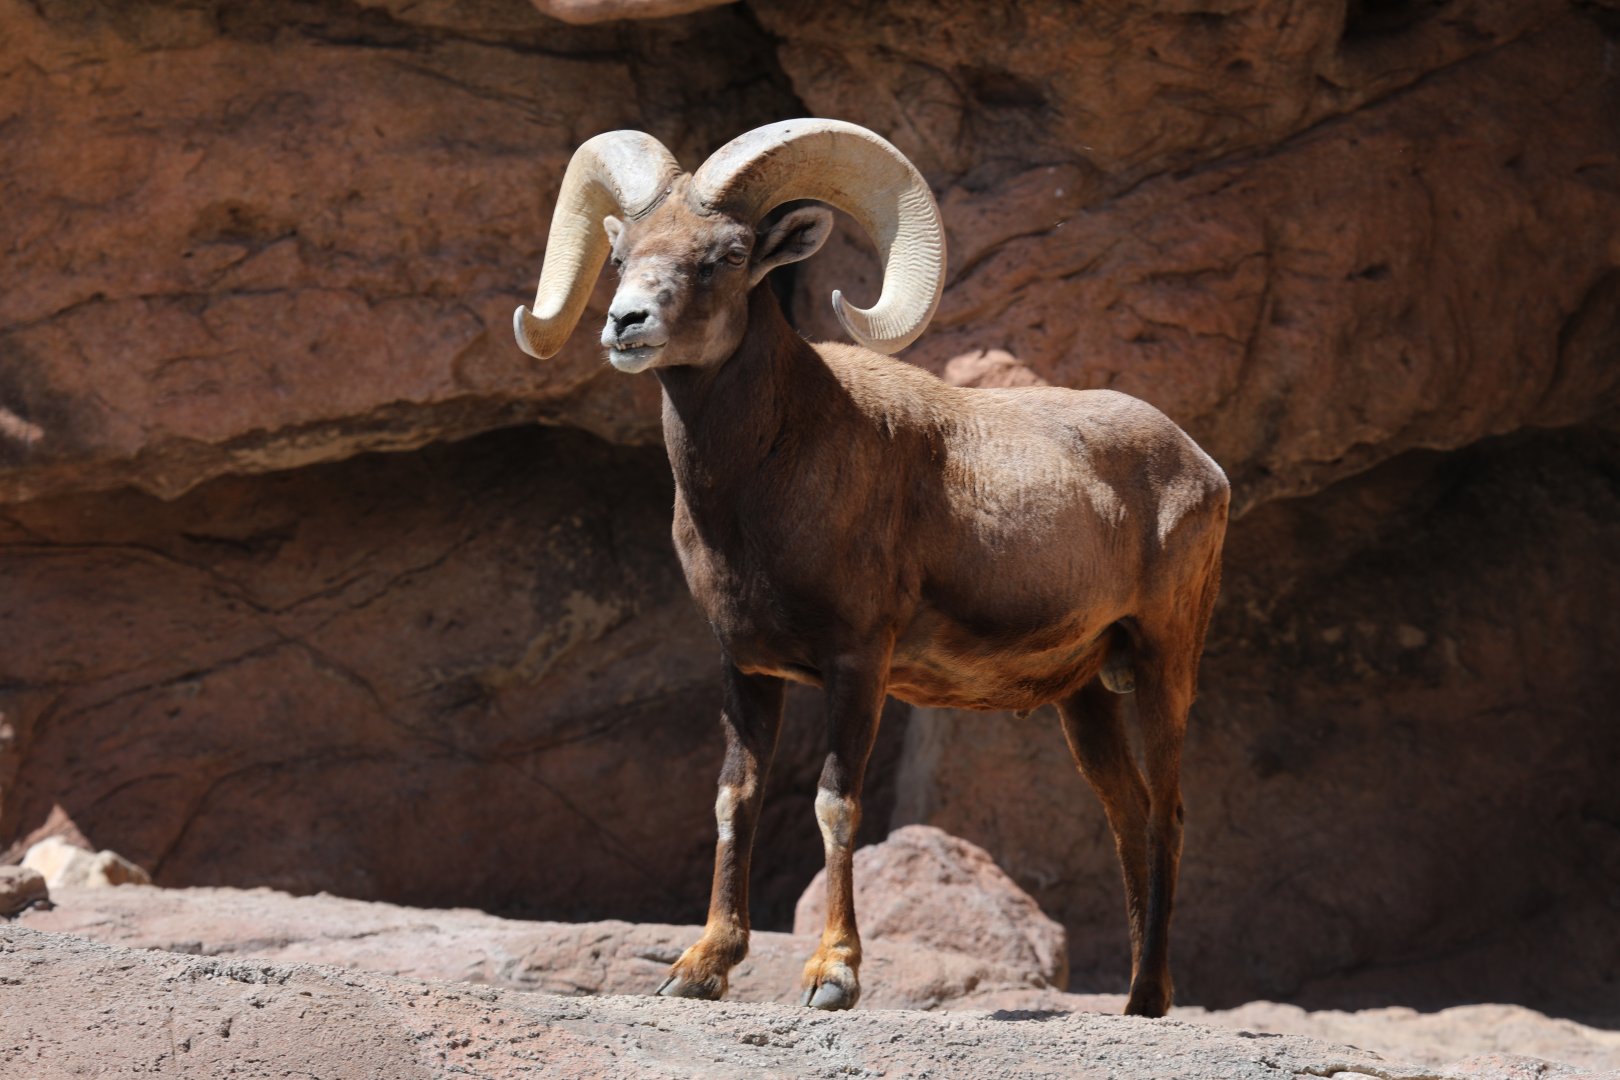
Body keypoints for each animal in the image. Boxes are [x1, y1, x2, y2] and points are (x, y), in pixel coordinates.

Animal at [513, 119, 1229, 1016]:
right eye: (620, 256)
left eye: (726, 255)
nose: (626, 322)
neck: (769, 479)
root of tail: (1205, 469)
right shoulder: (745, 667)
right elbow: (733, 799)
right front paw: (700, 969)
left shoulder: (858, 663)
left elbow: (837, 805)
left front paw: (832, 977)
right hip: (1086, 696)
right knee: (1128, 815)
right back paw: (1135, 1002)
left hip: (1166, 662)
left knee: (1167, 813)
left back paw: (1151, 1002)